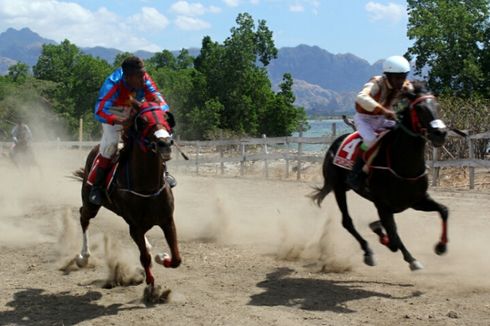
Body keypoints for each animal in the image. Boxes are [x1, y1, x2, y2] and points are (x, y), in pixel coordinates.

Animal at [72, 100, 181, 290]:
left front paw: (162, 257)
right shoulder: (135, 226)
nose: (165, 143)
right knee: (83, 217)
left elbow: (176, 258)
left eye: (166, 118)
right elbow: (144, 257)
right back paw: (83, 257)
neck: (147, 187)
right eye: (143, 122)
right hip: (90, 203)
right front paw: (151, 287)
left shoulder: (167, 220)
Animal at [312, 81, 450, 270]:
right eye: (419, 108)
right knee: (347, 221)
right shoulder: (383, 205)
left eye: (437, 105)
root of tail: (336, 142)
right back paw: (368, 252)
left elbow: (444, 210)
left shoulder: (416, 200)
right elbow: (394, 238)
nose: (440, 133)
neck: (403, 166)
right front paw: (411, 259)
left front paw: (441, 246)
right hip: (338, 188)